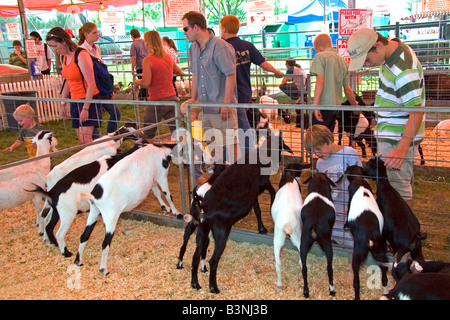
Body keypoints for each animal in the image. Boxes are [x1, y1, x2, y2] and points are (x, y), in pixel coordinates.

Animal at [74, 143, 179, 276]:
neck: (160, 151)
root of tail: (94, 195)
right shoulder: (161, 175)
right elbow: (167, 194)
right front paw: (177, 213)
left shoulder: (152, 180)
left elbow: (156, 192)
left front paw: (165, 208)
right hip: (111, 217)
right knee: (105, 243)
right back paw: (103, 269)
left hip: (94, 212)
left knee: (84, 235)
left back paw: (78, 261)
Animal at [270, 164, 310, 292]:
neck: (290, 176)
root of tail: (286, 223)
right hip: (297, 234)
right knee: (301, 262)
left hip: (278, 237)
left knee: (278, 263)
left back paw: (279, 285)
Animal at [342, 165, 388, 300]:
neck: (358, 179)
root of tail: (370, 238)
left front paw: (346, 225)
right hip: (380, 252)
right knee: (384, 273)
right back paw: (385, 291)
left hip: (357, 254)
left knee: (356, 281)